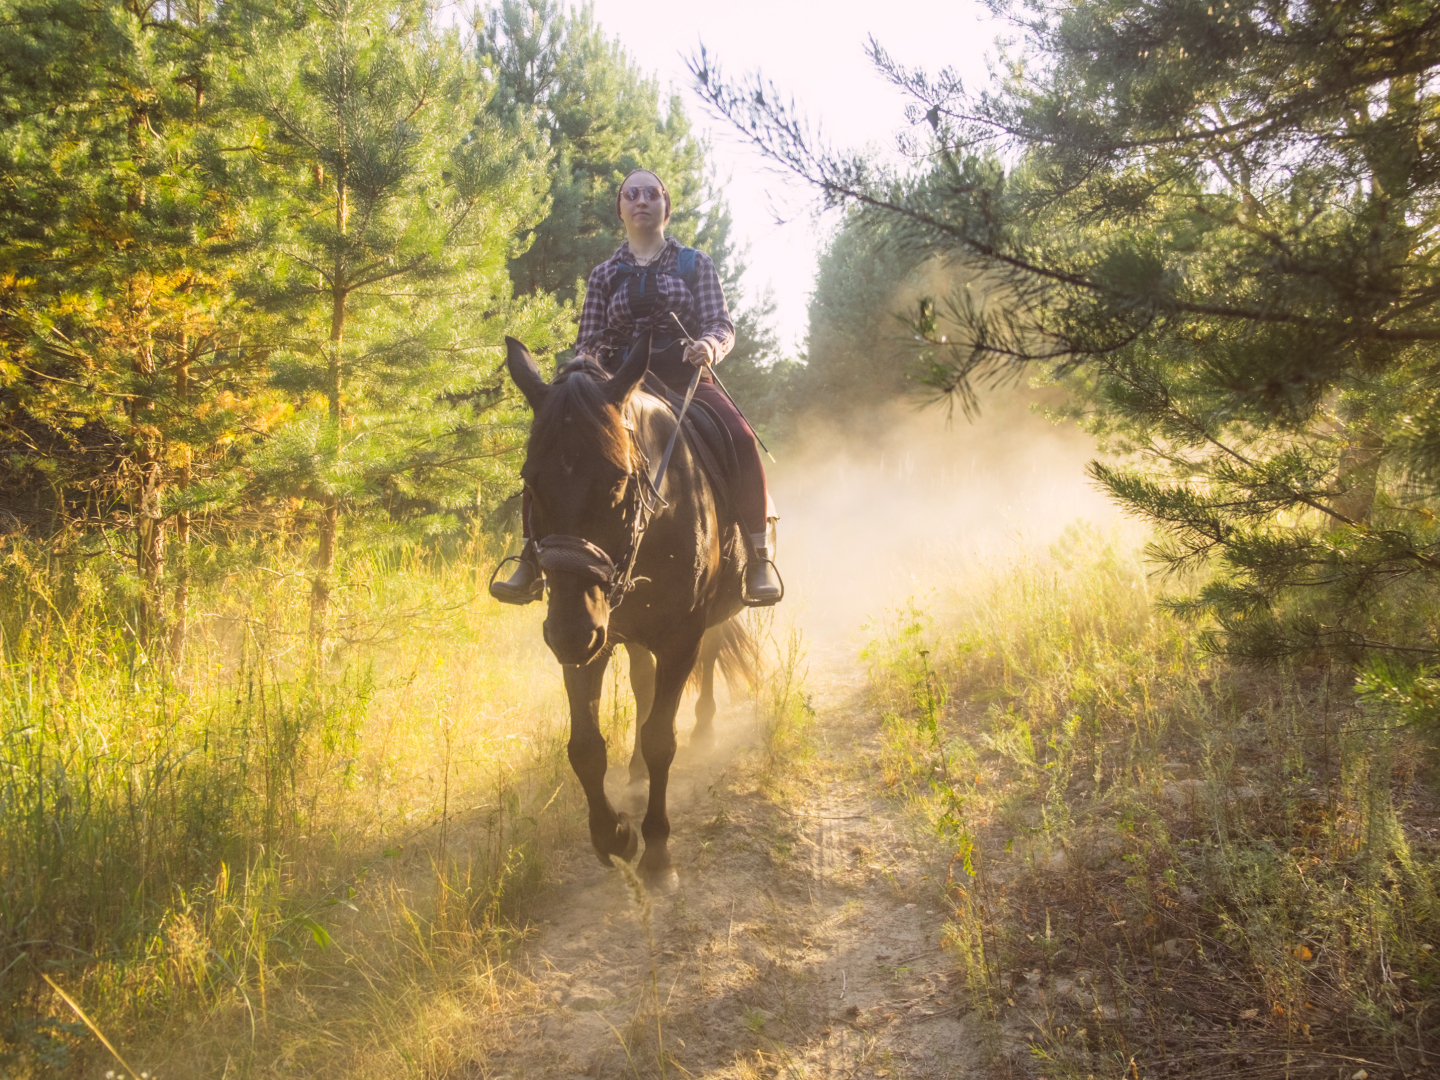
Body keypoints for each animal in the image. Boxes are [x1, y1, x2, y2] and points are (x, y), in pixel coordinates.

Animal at [506, 336, 754, 887]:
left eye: (618, 480)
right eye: (530, 481)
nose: (570, 632)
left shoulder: (680, 637)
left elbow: (663, 737)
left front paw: (657, 852)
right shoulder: (590, 642)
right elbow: (585, 746)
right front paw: (613, 836)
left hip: (705, 620)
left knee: (707, 660)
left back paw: (704, 728)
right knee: (643, 684)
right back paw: (637, 769)